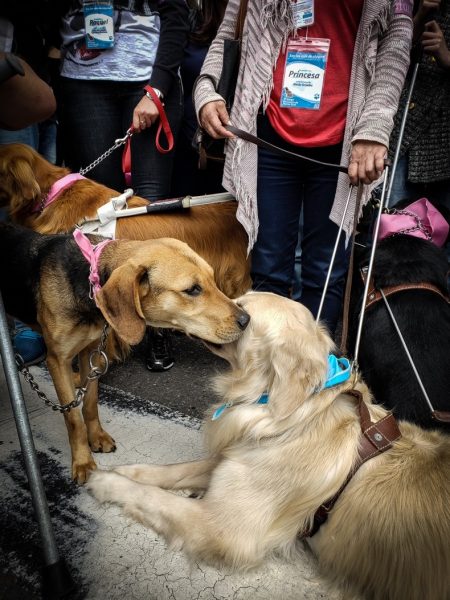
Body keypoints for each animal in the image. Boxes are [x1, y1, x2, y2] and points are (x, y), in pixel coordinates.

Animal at [0, 224, 250, 482]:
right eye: (192, 290)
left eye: (212, 279)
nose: (246, 320)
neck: (88, 279)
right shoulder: (57, 361)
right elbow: (74, 418)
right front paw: (82, 461)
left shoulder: (91, 352)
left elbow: (90, 404)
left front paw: (96, 437)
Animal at [88, 292, 450, 600]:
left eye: (245, 315)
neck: (296, 413)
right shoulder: (234, 460)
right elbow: (172, 472)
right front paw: (124, 470)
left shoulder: (222, 528)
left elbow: (153, 497)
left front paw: (105, 482)